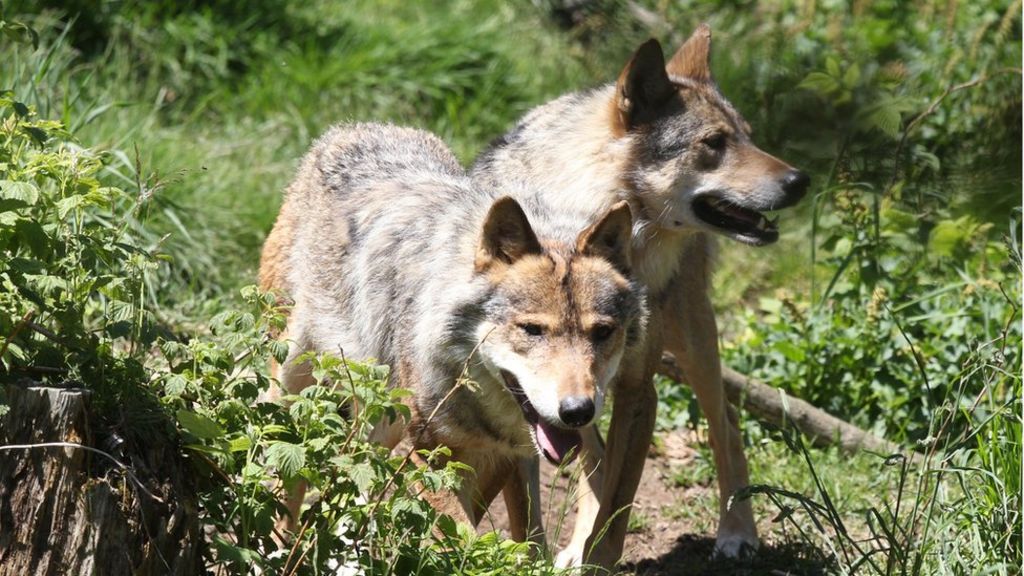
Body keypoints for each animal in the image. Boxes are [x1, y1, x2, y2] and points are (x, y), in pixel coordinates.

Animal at [256, 123, 647, 545]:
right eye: (532, 330)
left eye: (602, 332)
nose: (577, 412)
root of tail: (349, 129)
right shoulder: (426, 451)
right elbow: (462, 537)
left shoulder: (507, 455)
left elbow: (519, 537)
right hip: (293, 383)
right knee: (289, 480)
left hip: (378, 424)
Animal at [475, 25, 811, 565]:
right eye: (714, 143)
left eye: (747, 136)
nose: (800, 181)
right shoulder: (524, 390)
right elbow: (531, 512)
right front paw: (548, 558)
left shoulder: (639, 389)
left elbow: (617, 508)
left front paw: (596, 561)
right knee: (594, 454)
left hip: (694, 341)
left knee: (726, 421)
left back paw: (737, 532)